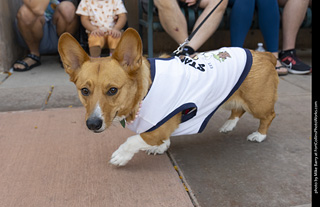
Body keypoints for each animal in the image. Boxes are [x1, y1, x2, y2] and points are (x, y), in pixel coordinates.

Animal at [58, 28, 278, 167]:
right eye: (84, 91)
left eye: (112, 90)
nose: (92, 124)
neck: (144, 92)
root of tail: (266, 55)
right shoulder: (162, 126)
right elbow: (159, 139)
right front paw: (161, 147)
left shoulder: (156, 128)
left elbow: (134, 139)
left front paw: (121, 155)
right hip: (231, 97)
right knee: (237, 110)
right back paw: (228, 125)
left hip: (257, 103)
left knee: (269, 116)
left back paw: (259, 135)